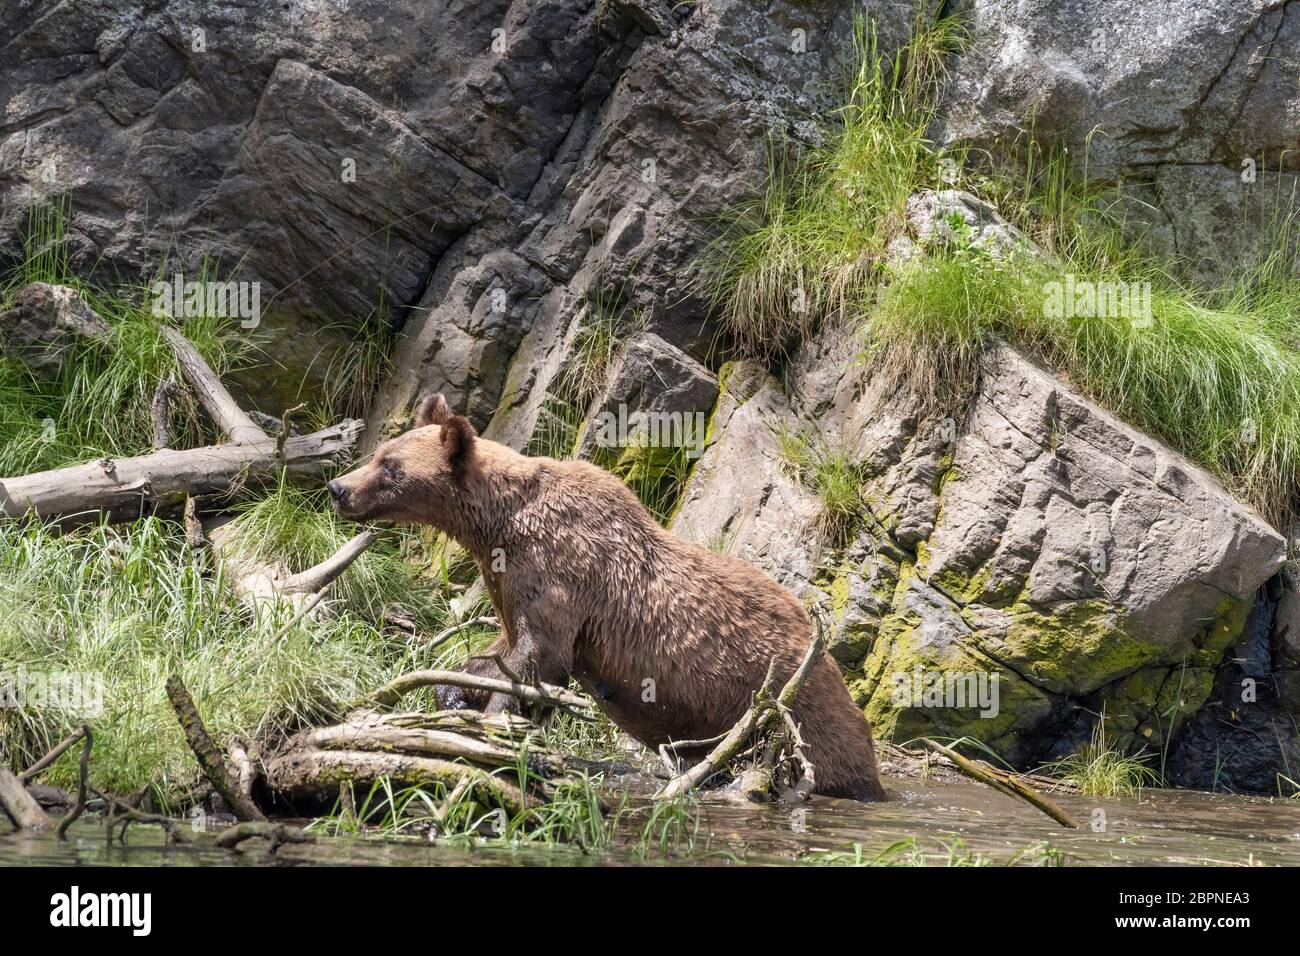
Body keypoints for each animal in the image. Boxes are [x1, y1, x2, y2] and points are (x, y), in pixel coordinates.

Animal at [330, 392, 889, 806]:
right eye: (381, 452)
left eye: (390, 466)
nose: (339, 487)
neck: (499, 526)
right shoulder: (512, 580)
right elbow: (500, 653)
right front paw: (453, 694)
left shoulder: (562, 575)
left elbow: (538, 658)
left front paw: (496, 723)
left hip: (797, 707)